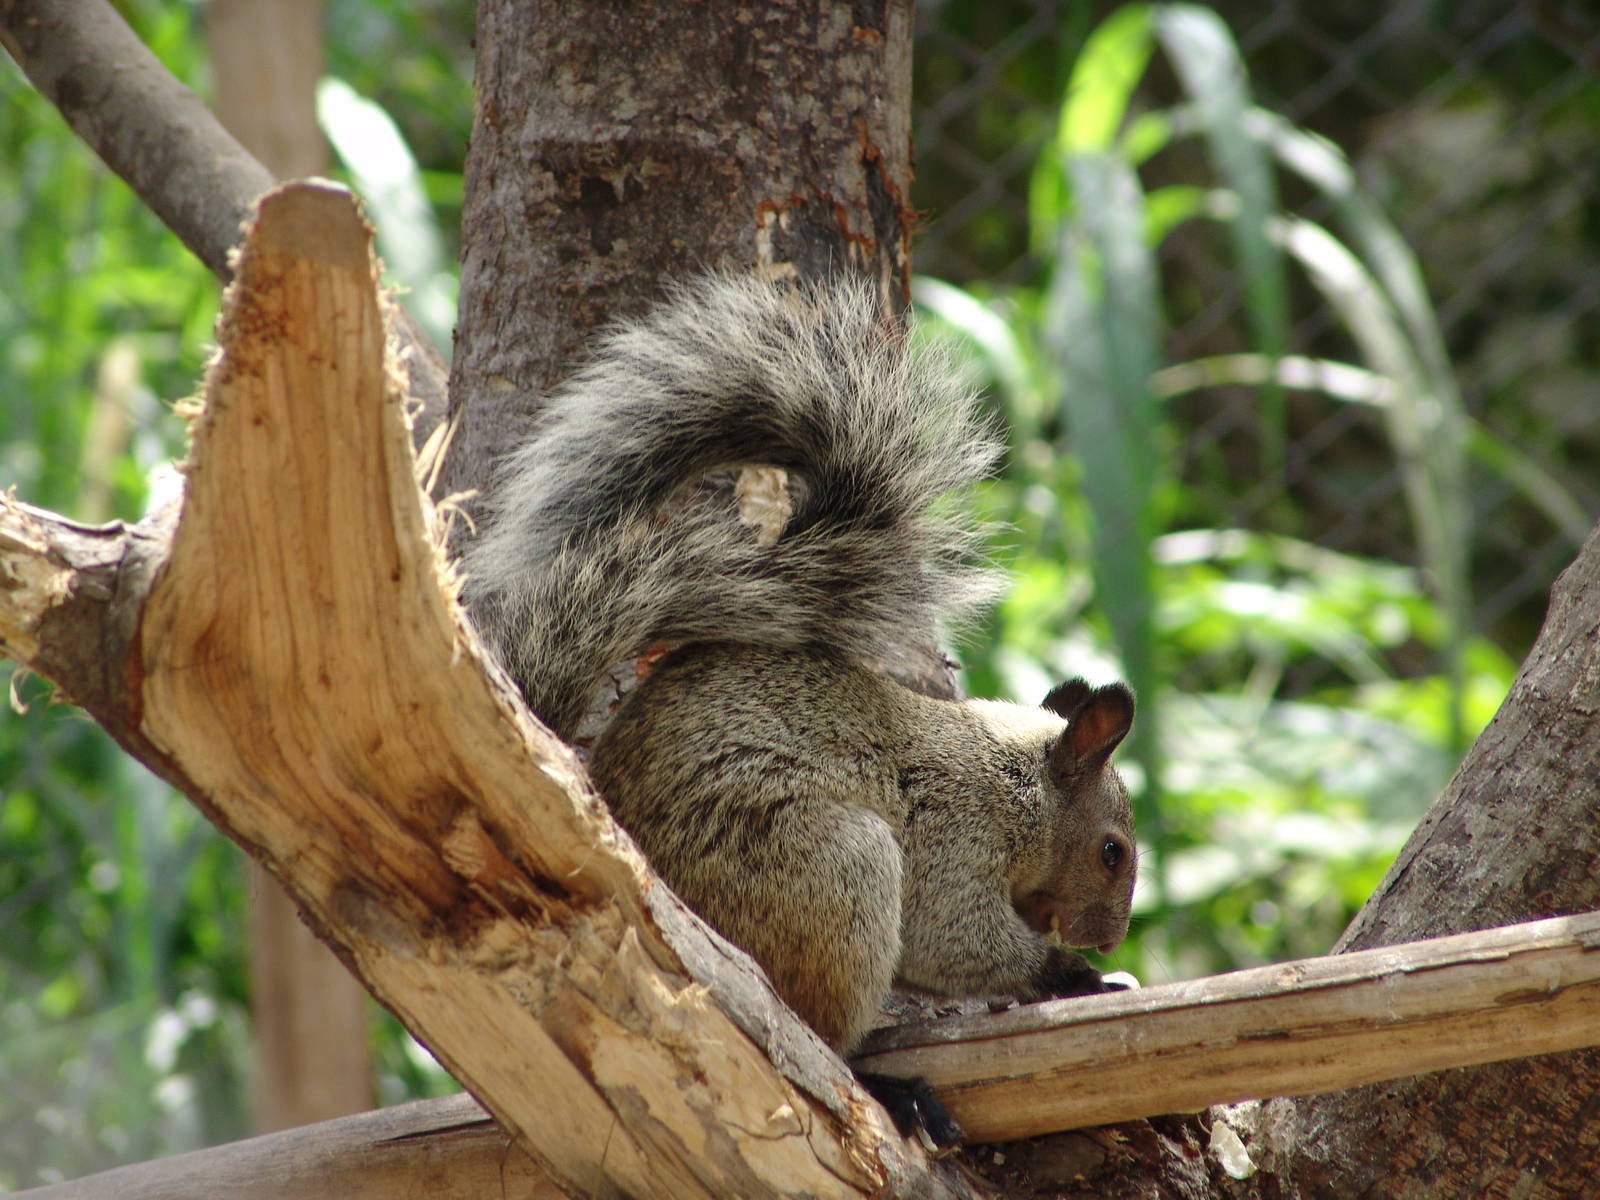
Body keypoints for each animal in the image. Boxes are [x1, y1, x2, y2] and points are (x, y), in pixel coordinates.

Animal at [462, 272, 1137, 1144]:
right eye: (1113, 852)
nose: (1111, 936)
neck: (1012, 781)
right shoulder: (953, 843)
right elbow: (957, 942)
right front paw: (1073, 973)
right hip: (826, 870)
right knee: (820, 1036)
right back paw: (887, 1085)